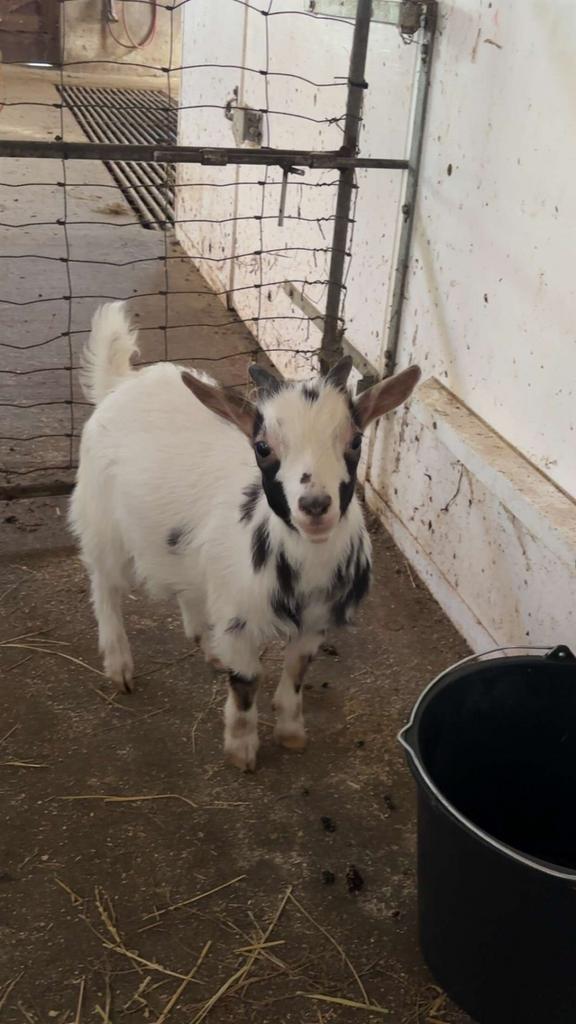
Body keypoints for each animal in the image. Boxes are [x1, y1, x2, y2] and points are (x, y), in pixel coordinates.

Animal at [69, 302, 420, 771]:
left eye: (355, 441)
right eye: (262, 447)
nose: (314, 505)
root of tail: (122, 383)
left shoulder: (314, 621)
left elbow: (296, 672)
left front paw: (291, 731)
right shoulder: (240, 621)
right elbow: (247, 681)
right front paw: (241, 748)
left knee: (188, 589)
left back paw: (207, 646)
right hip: (102, 520)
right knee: (104, 585)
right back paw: (119, 664)